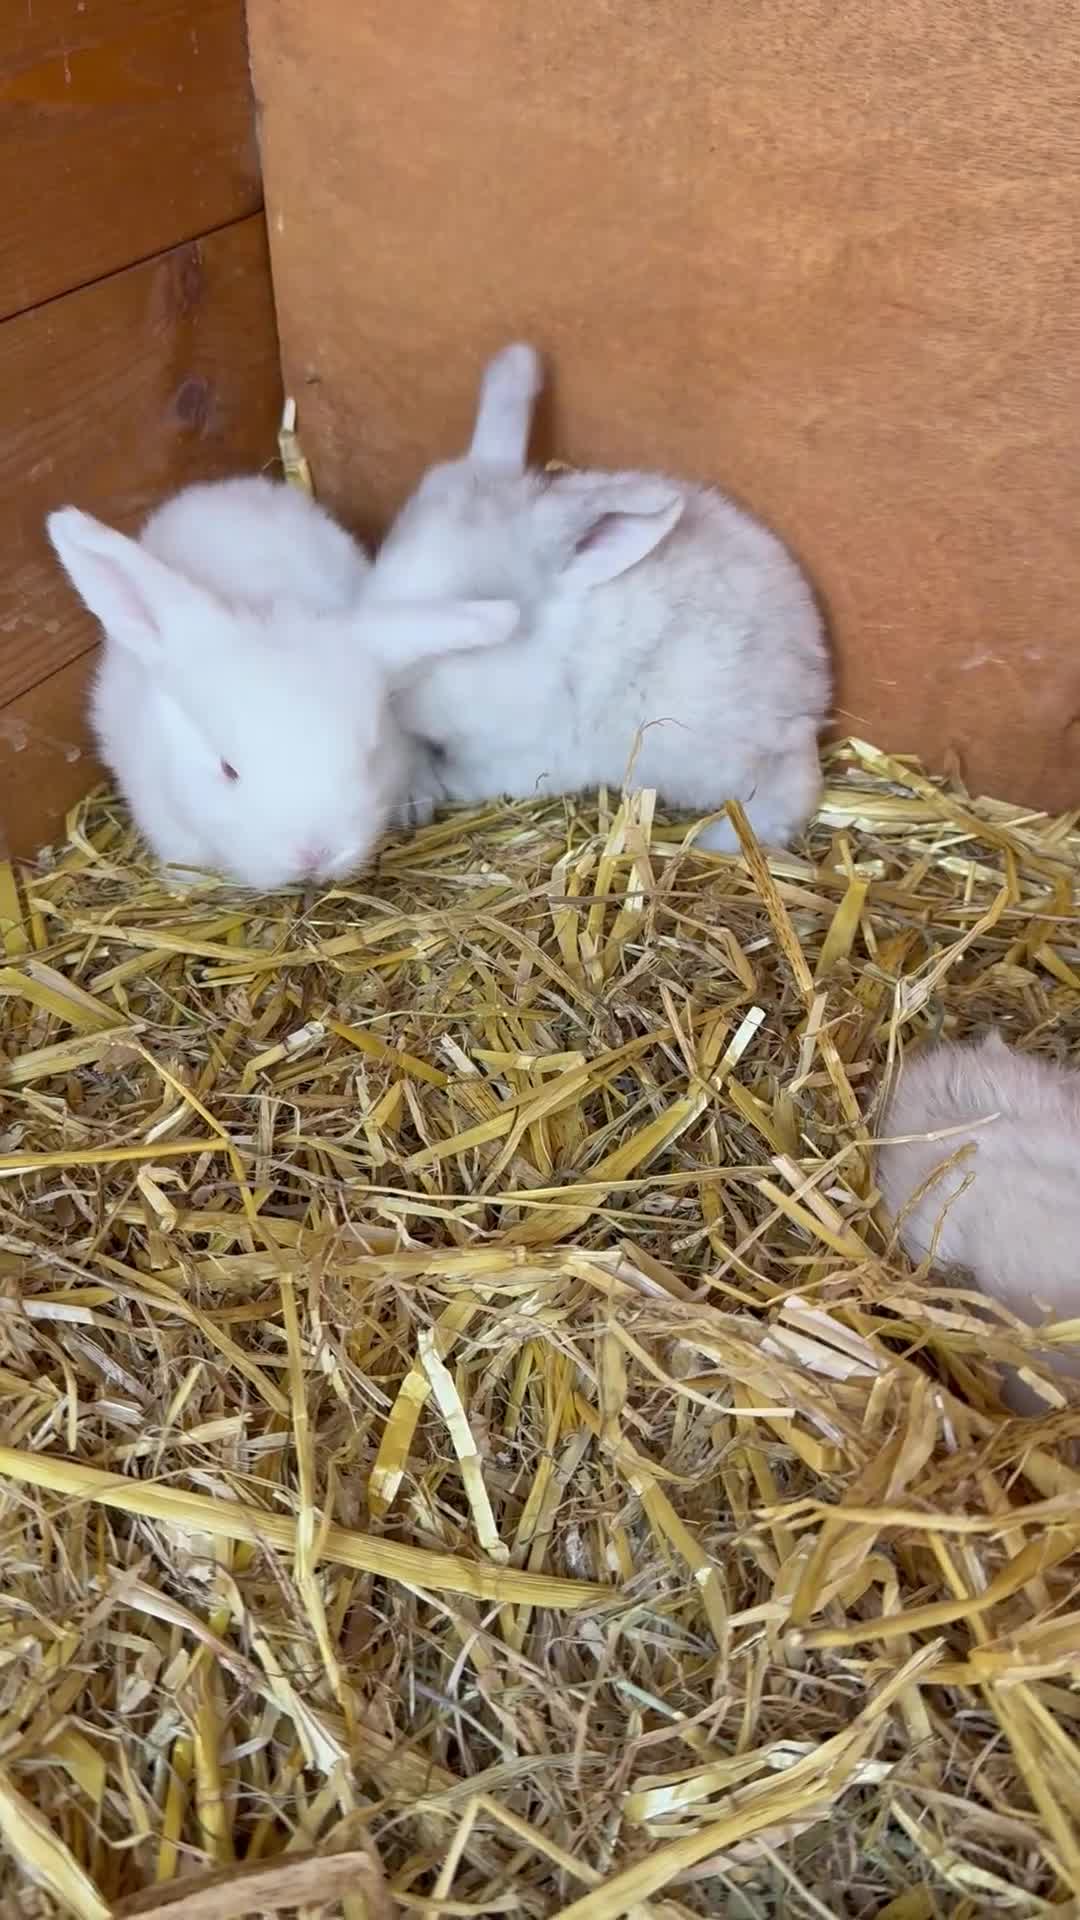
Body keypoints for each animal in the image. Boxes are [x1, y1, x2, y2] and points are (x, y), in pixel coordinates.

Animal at [367, 343, 830, 851]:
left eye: (487, 599)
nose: (388, 686)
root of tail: (810, 700)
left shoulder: (526, 757)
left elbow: (468, 777)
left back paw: (719, 841)